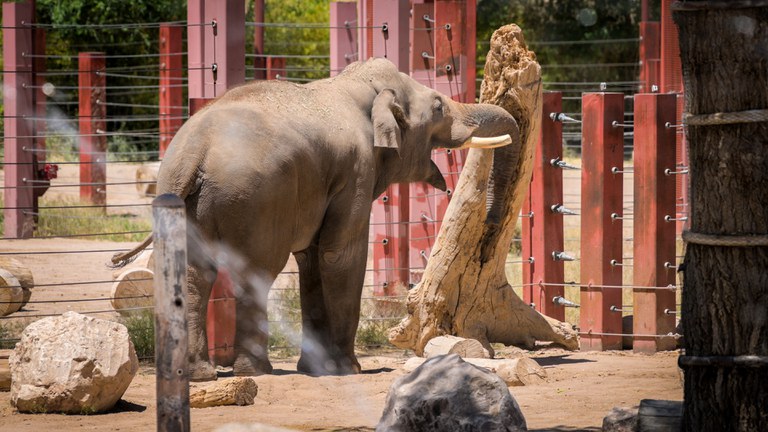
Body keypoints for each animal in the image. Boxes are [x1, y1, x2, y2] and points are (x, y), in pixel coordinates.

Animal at [112, 58, 520, 380]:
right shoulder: (356, 170)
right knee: (256, 271)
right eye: (437, 107)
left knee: (195, 275)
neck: (357, 85)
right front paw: (348, 369)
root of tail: (196, 150)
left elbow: (311, 260)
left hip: (189, 200)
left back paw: (197, 374)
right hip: (258, 198)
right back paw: (254, 371)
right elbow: (340, 255)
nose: (491, 224)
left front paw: (318, 368)